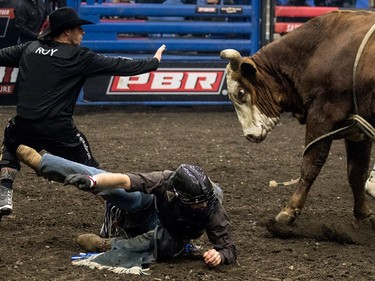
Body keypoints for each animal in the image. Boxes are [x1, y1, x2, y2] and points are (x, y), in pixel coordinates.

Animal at [222, 9, 375, 225]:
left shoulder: (323, 113)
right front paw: (363, 214)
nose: (250, 135)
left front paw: (289, 211)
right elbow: (357, 172)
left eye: (240, 93)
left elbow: (310, 163)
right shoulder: (358, 127)